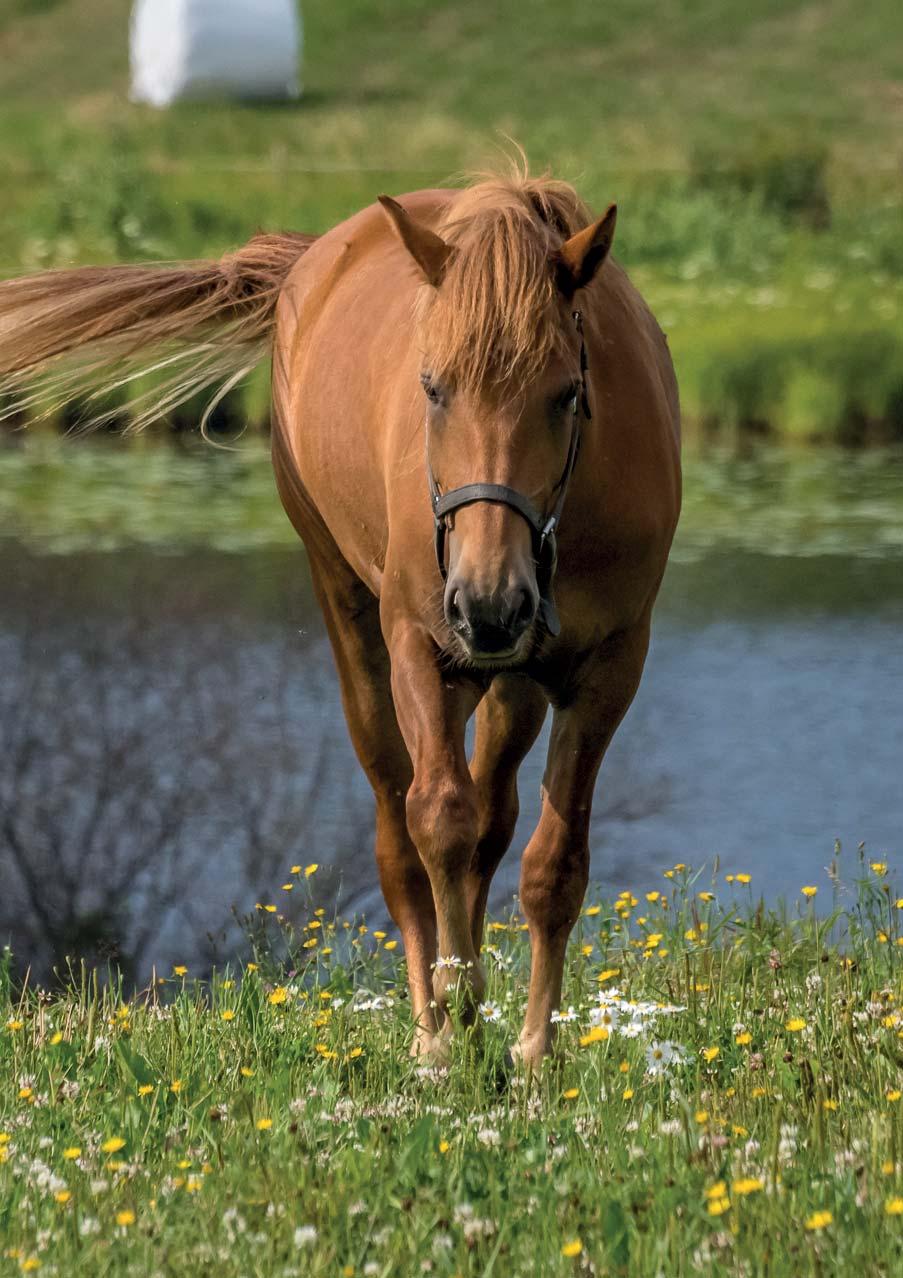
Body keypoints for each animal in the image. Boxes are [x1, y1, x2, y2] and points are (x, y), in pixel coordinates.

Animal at [0, 169, 679, 1068]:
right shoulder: (420, 645)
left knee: (494, 814)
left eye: (567, 394)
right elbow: (439, 821)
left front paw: (534, 1053)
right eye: (433, 387)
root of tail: (308, 260)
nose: (487, 601)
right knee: (400, 828)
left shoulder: (607, 667)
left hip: (511, 679)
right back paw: (432, 1019)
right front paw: (450, 1034)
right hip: (349, 612)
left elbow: (551, 864)